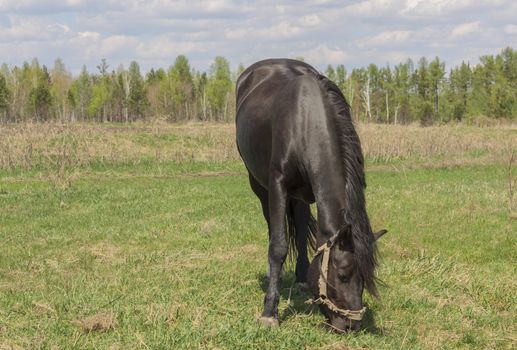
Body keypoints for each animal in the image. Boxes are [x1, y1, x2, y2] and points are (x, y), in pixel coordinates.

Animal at [236, 58, 384, 332]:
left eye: (365, 278)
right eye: (343, 274)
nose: (352, 325)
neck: (304, 121)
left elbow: (304, 231)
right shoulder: (278, 186)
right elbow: (278, 245)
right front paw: (269, 312)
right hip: (259, 185)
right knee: (272, 227)